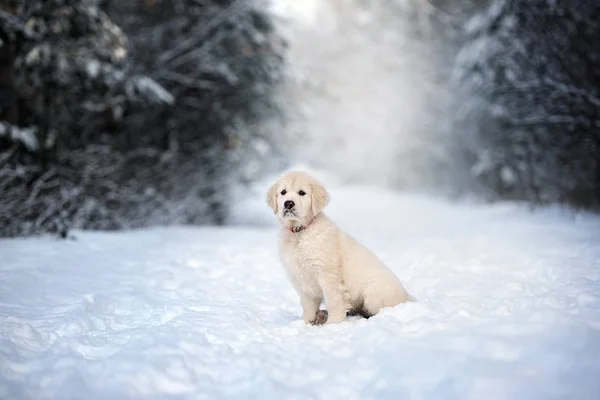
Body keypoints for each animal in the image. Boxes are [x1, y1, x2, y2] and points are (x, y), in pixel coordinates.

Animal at [268, 170, 412, 324]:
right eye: (283, 192)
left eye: (302, 193)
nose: (288, 204)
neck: (300, 233)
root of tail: (407, 297)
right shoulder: (300, 277)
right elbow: (307, 304)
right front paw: (305, 322)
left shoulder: (328, 274)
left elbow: (333, 300)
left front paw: (333, 323)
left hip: (373, 293)